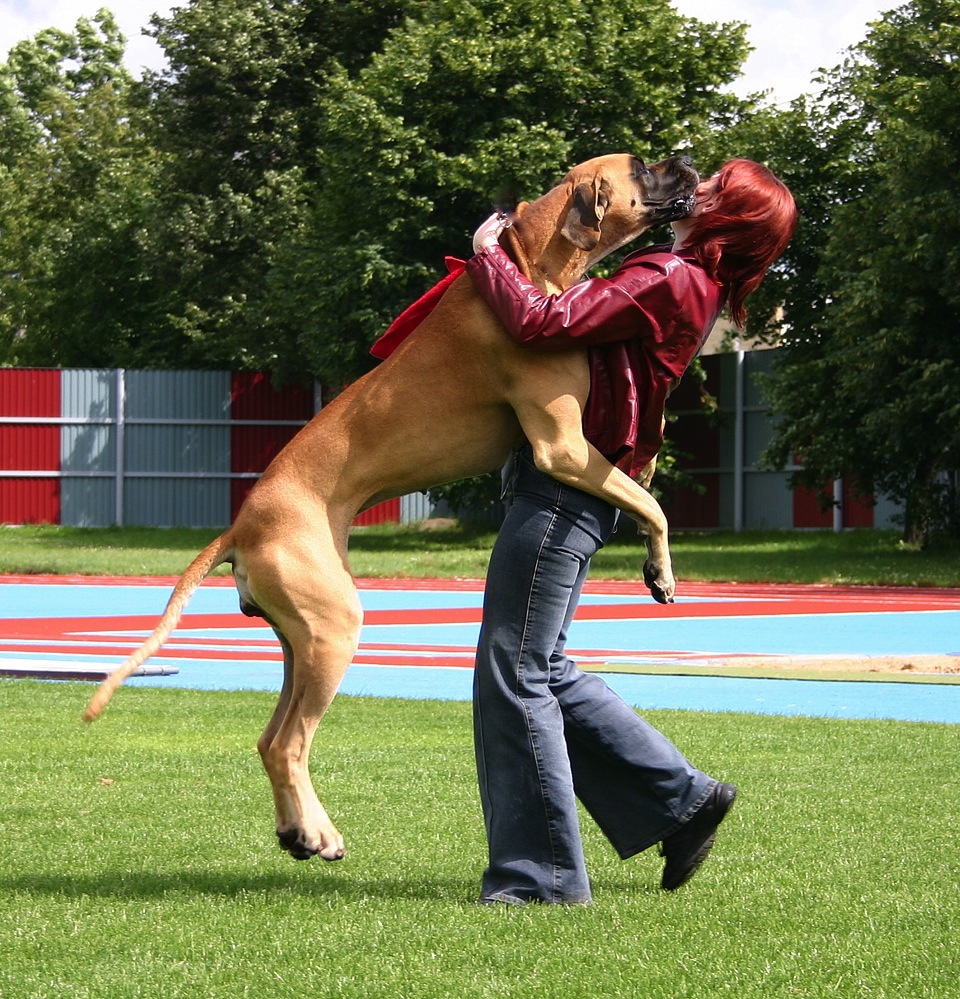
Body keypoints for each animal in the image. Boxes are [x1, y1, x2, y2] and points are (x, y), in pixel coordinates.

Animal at [84, 152, 696, 864]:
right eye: (642, 167)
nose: (687, 157)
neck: (531, 261)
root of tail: (241, 523)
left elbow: (641, 480)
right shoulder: (563, 446)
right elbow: (652, 503)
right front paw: (661, 570)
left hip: (302, 638)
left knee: (269, 739)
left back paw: (297, 830)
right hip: (333, 629)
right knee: (290, 743)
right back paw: (319, 834)